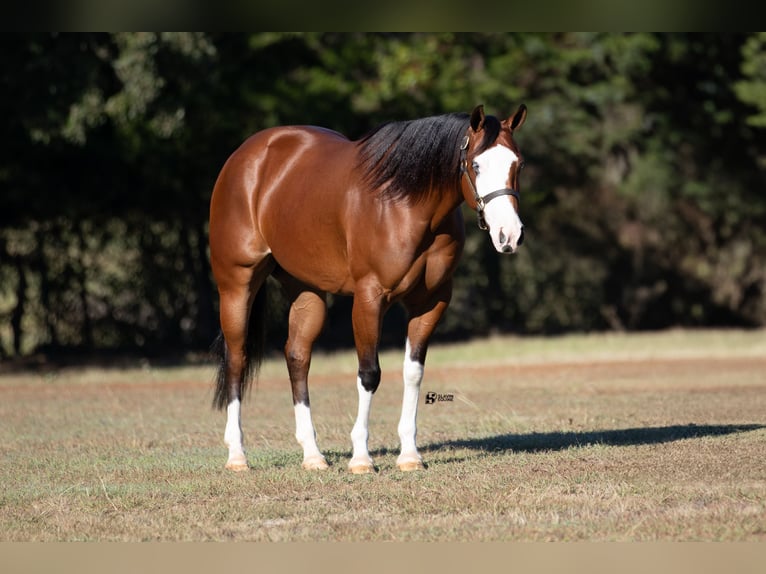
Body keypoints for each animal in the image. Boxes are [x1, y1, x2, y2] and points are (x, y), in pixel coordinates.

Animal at [210, 103, 528, 472]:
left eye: (518, 163)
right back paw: (237, 455)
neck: (406, 203)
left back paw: (312, 454)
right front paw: (361, 458)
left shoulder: (430, 303)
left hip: (307, 292)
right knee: (237, 358)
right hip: (237, 284)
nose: (509, 234)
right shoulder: (368, 298)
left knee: (297, 356)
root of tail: (246, 156)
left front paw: (409, 455)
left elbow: (413, 373)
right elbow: (369, 373)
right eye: (476, 164)